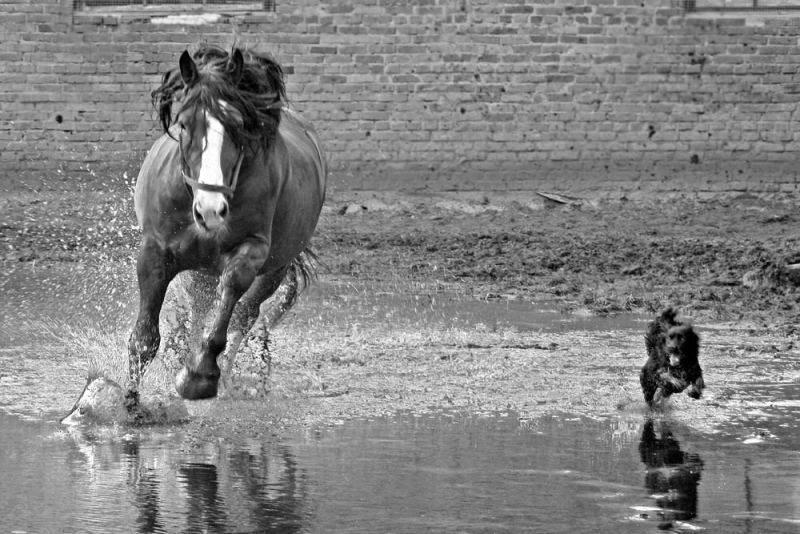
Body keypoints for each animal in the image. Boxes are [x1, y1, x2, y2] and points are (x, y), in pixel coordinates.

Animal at [127, 46, 324, 404]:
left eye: (238, 125)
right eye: (183, 124)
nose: (210, 210)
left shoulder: (252, 252)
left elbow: (229, 303)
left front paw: (199, 376)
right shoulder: (155, 253)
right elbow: (144, 338)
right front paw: (128, 402)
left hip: (273, 269)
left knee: (243, 316)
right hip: (200, 270)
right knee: (200, 309)